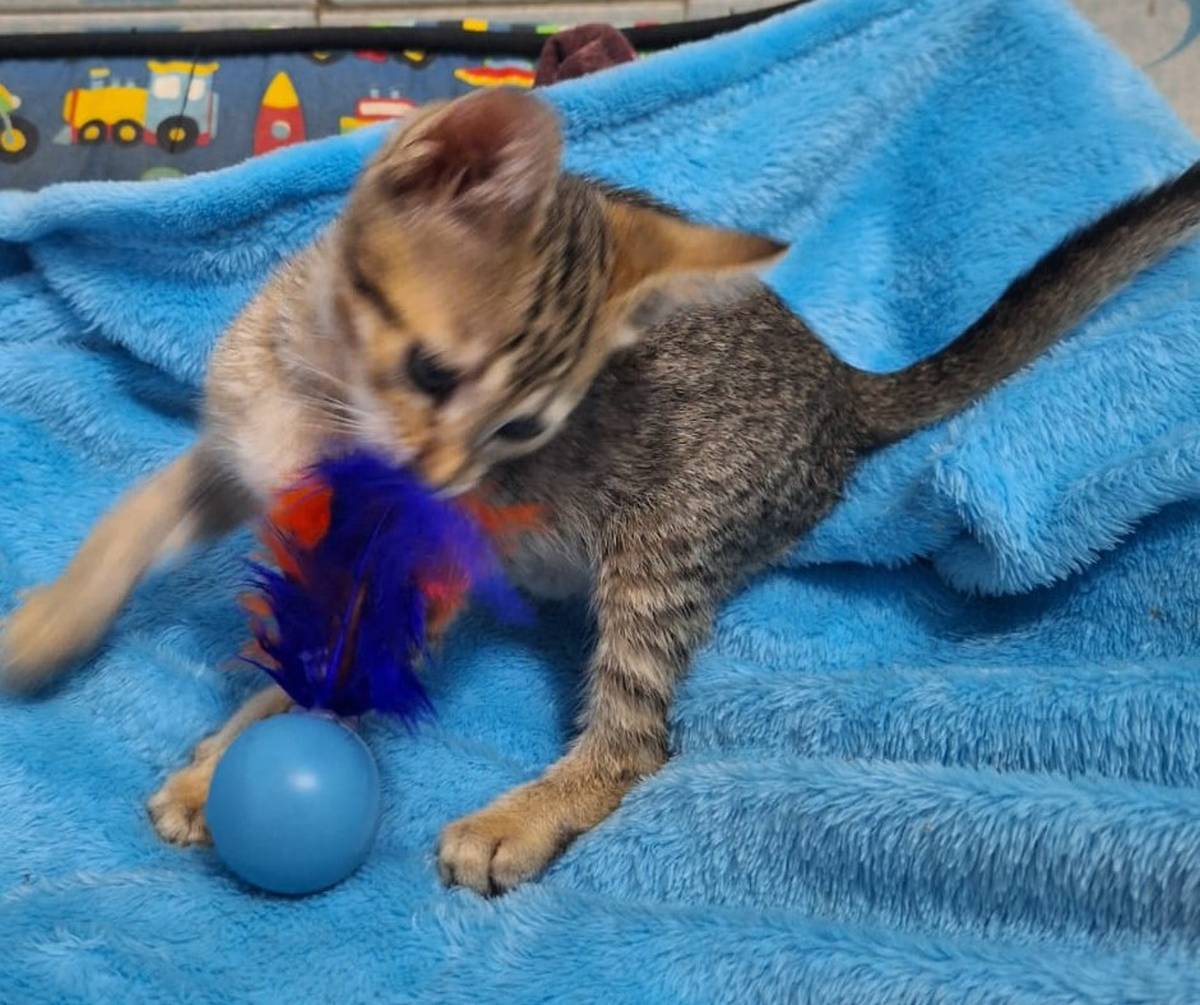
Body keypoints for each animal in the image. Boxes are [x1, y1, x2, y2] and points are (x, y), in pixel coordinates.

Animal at [3, 88, 1198, 897]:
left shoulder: (417, 558)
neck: (315, 396)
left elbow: (322, 676)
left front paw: (222, 768)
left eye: (525, 429)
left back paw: (523, 815)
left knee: (640, 740)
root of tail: (839, 380)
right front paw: (51, 625)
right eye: (433, 374)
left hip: (659, 543)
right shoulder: (229, 456)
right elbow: (128, 520)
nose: (443, 478)